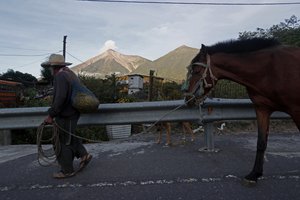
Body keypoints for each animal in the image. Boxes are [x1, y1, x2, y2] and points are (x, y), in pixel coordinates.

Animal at [182, 38, 300, 184]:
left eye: (197, 71)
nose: (187, 98)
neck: (270, 70)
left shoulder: (296, 110)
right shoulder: (262, 109)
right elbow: (261, 142)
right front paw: (254, 174)